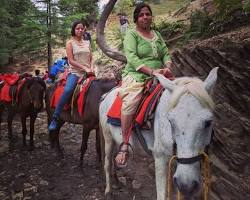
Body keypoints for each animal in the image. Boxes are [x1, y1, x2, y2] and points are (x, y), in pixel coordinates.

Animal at [98, 67, 218, 200]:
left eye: (208, 122)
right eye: (170, 121)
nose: (187, 184)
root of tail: (106, 95)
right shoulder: (160, 159)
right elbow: (161, 194)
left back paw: (117, 182)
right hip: (108, 136)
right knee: (107, 162)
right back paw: (108, 191)